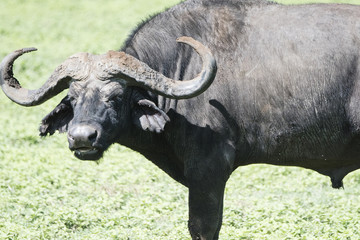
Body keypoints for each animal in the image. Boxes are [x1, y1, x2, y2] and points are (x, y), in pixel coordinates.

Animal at [0, 0, 360, 239]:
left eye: (116, 97)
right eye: (72, 98)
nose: (81, 137)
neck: (180, 69)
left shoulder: (208, 171)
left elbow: (203, 226)